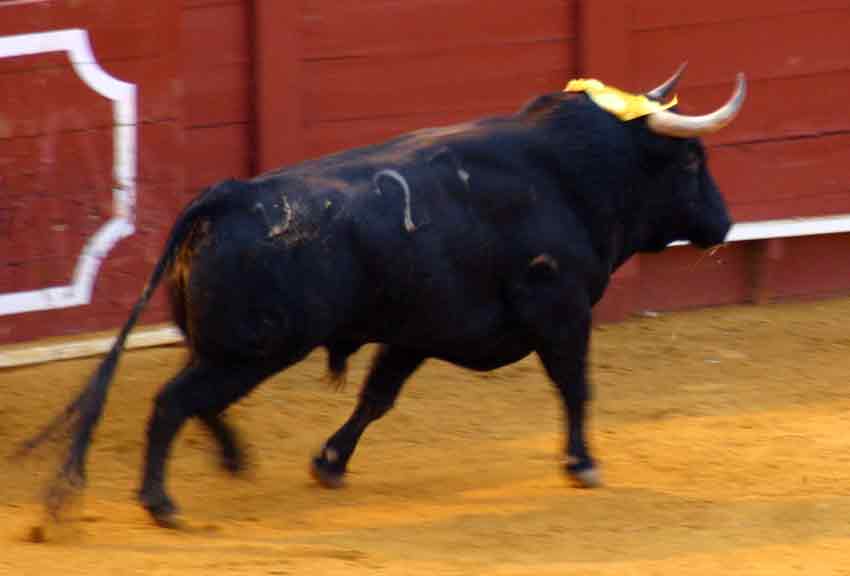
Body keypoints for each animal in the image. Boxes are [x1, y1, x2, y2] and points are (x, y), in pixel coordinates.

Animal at [19, 67, 744, 528]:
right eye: (691, 162)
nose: (726, 222)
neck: (570, 173)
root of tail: (224, 196)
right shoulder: (560, 310)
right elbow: (575, 386)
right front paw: (583, 464)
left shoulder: (416, 331)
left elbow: (378, 396)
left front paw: (329, 463)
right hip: (250, 350)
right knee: (175, 401)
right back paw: (160, 502)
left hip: (229, 346)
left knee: (197, 399)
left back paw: (232, 461)